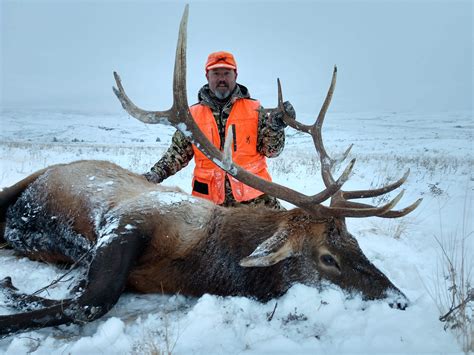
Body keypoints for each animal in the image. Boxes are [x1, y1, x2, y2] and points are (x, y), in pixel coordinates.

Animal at [0, 6, 422, 338]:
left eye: (355, 243)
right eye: (327, 258)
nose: (401, 300)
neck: (199, 260)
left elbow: (84, 298)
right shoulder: (127, 220)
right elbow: (90, 302)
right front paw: (11, 292)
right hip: (26, 180)